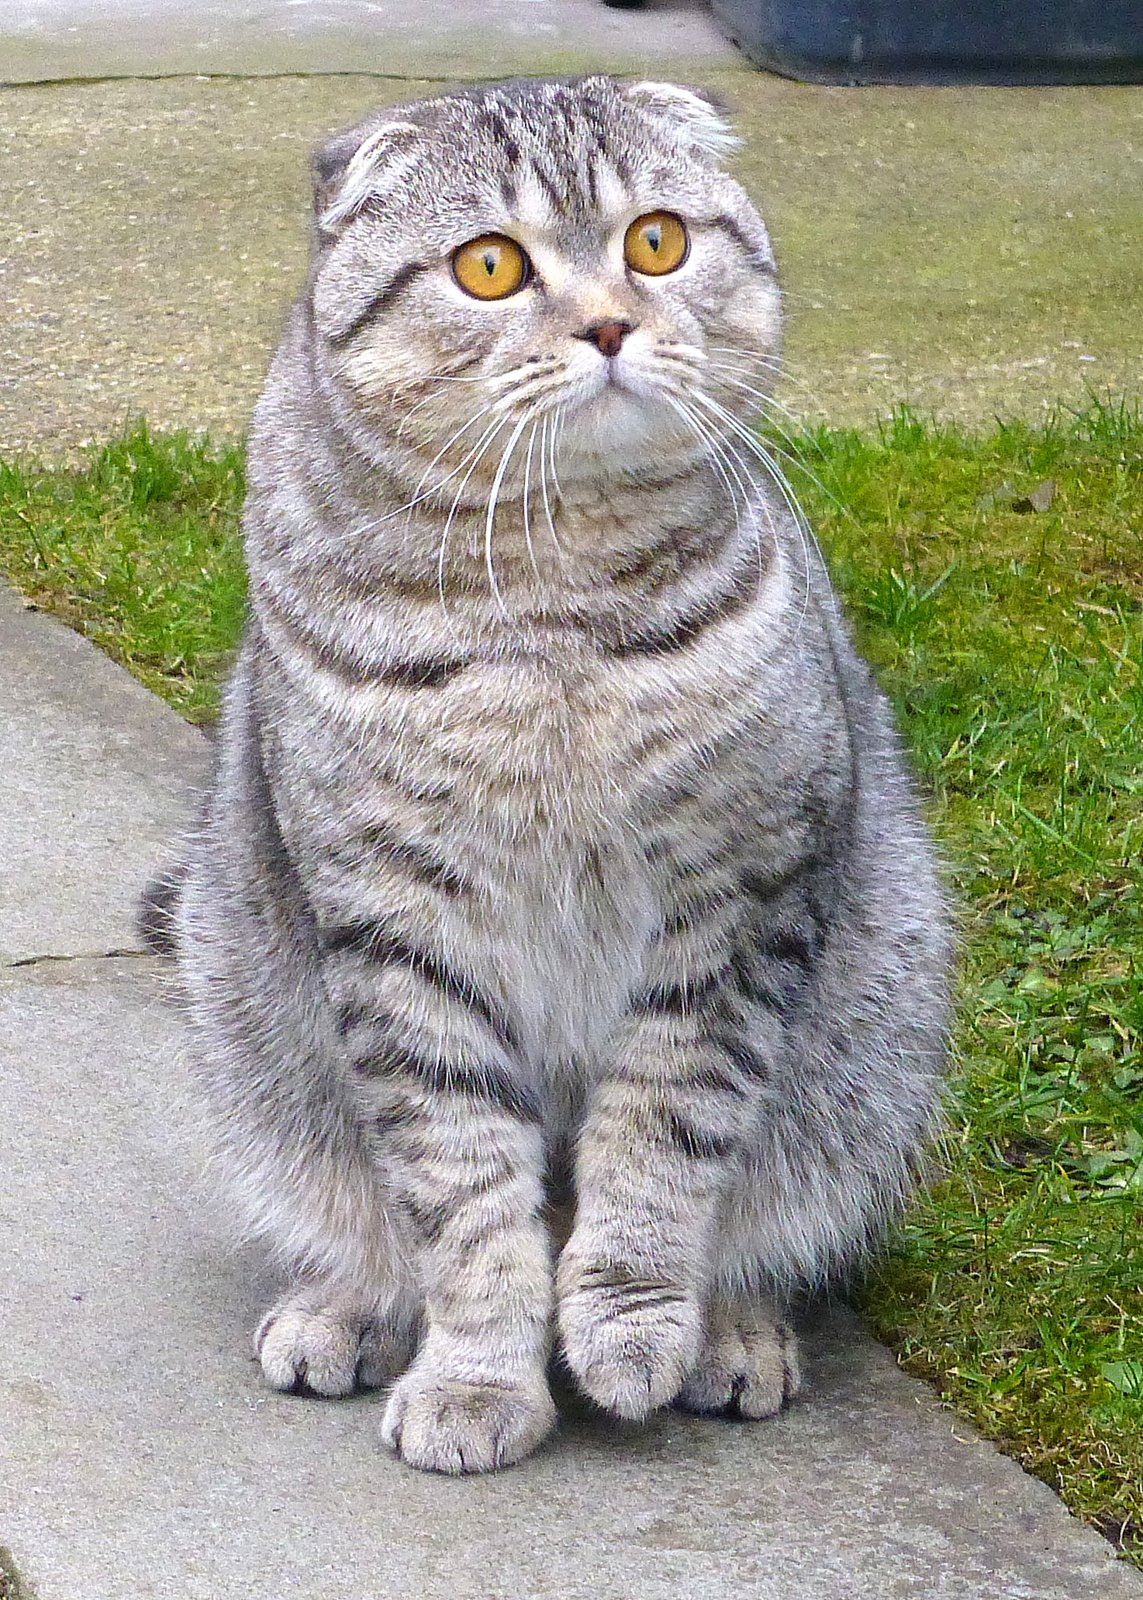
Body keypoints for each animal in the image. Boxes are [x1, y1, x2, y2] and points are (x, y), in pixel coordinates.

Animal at [156, 75, 947, 1472]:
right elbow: (461, 1188)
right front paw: (478, 1376)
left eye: (657, 242)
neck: (553, 594)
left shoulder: (737, 896)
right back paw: (345, 1308)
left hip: (880, 1017)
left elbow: (663, 1136)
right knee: (363, 1206)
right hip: (243, 998)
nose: (613, 323)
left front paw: (632, 1326)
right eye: (490, 266)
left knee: (765, 1215)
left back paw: (732, 1333)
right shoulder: (397, 921)